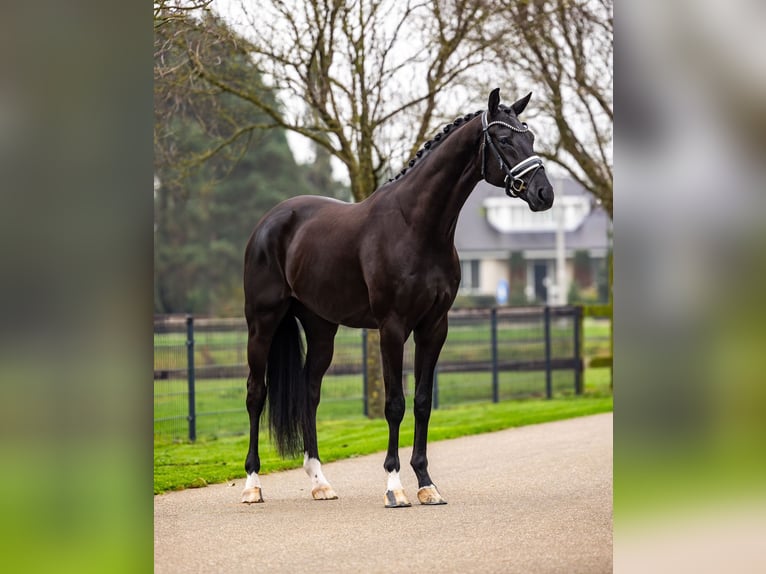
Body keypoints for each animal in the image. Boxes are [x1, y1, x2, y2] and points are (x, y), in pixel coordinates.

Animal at [240, 89, 552, 508]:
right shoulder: (392, 328)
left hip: (321, 328)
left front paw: (426, 484)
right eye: (504, 140)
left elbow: (421, 402)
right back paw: (252, 484)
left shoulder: (434, 327)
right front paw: (394, 485)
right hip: (262, 323)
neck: (416, 226)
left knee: (310, 393)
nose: (544, 194)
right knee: (256, 394)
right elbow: (395, 404)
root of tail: (269, 222)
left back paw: (320, 482)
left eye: (530, 137)